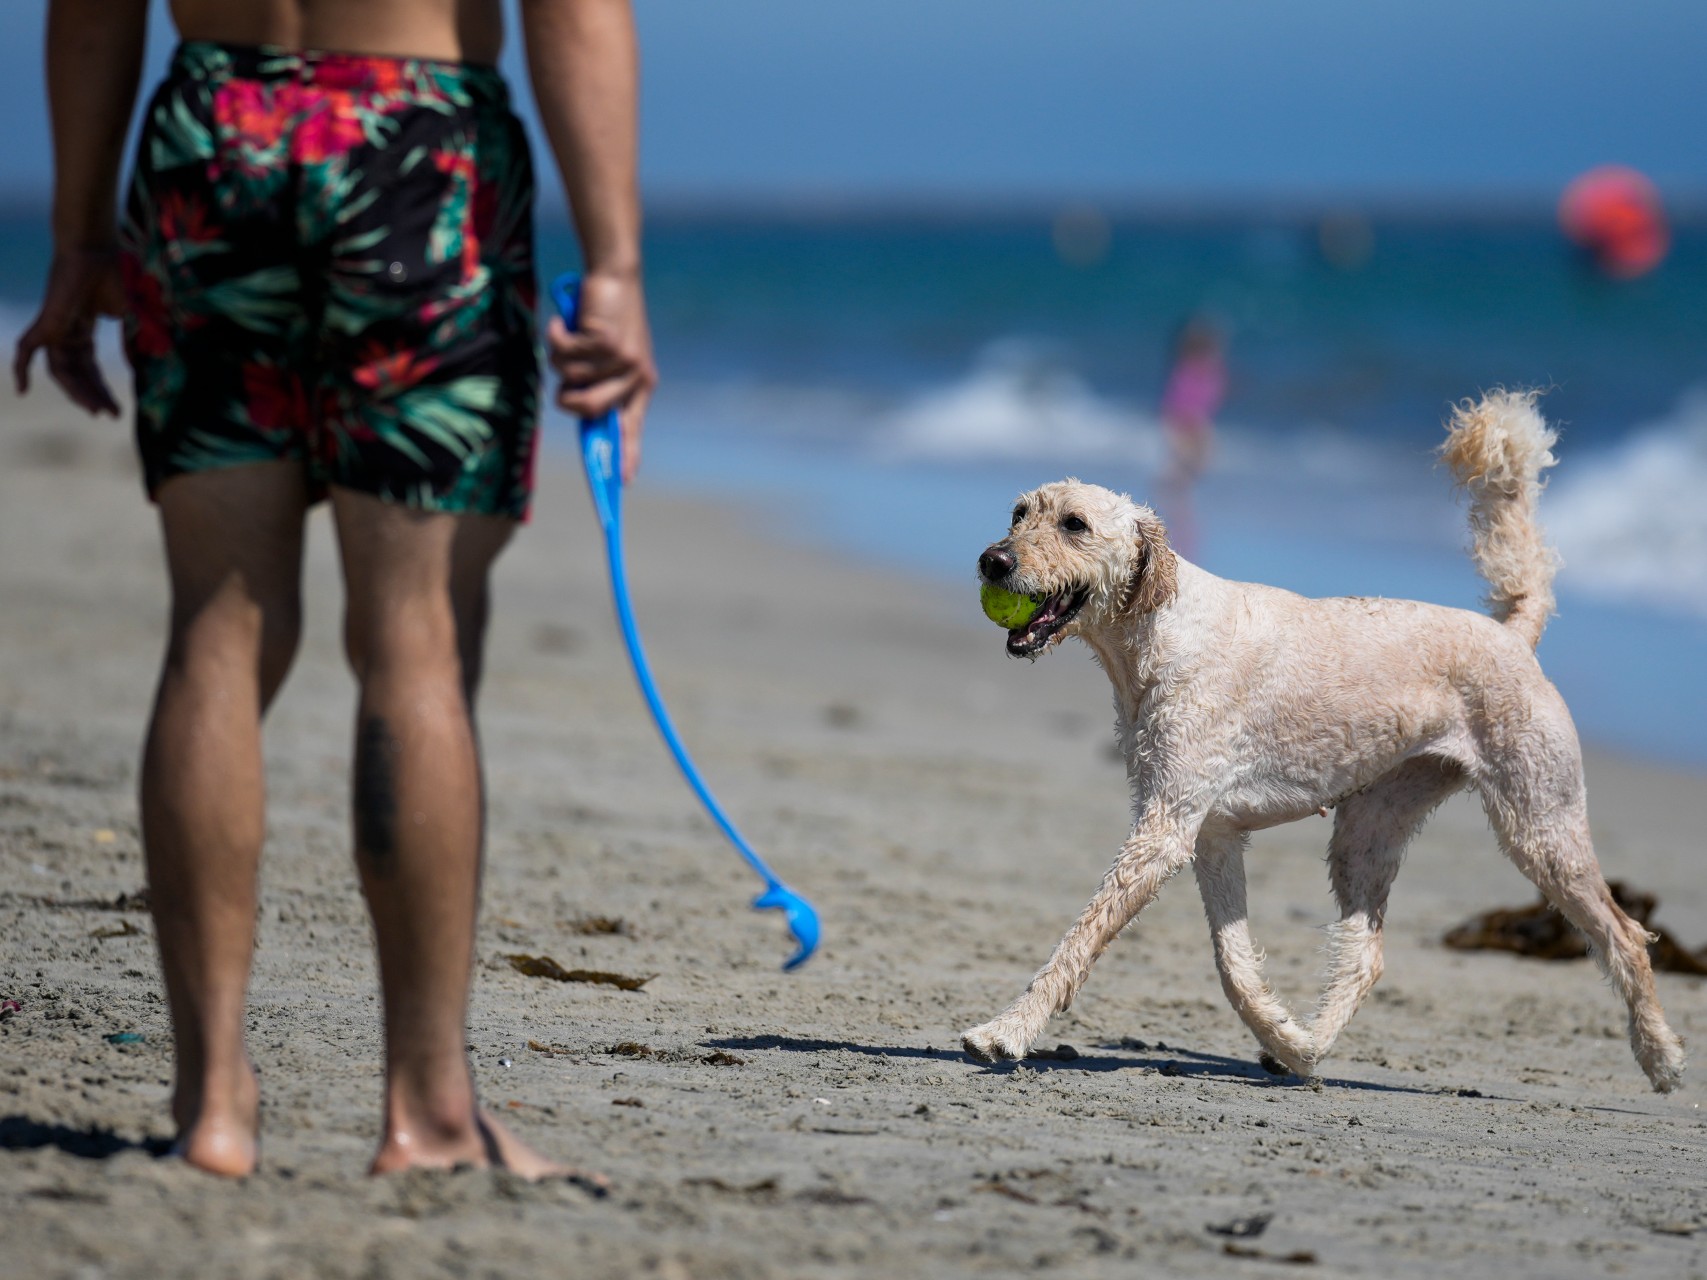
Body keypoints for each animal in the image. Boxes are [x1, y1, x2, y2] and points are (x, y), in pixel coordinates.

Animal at [969, 390, 1686, 1092]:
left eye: (1075, 524)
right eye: (1019, 511)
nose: (991, 560)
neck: (1161, 627)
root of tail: (1513, 634)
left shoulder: (1165, 830)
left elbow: (1083, 937)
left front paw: (1007, 1030)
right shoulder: (1210, 835)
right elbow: (1232, 965)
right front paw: (1282, 1036)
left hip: (1540, 824)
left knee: (1625, 935)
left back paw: (1660, 1057)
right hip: (1367, 831)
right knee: (1366, 955)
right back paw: (1310, 1046)